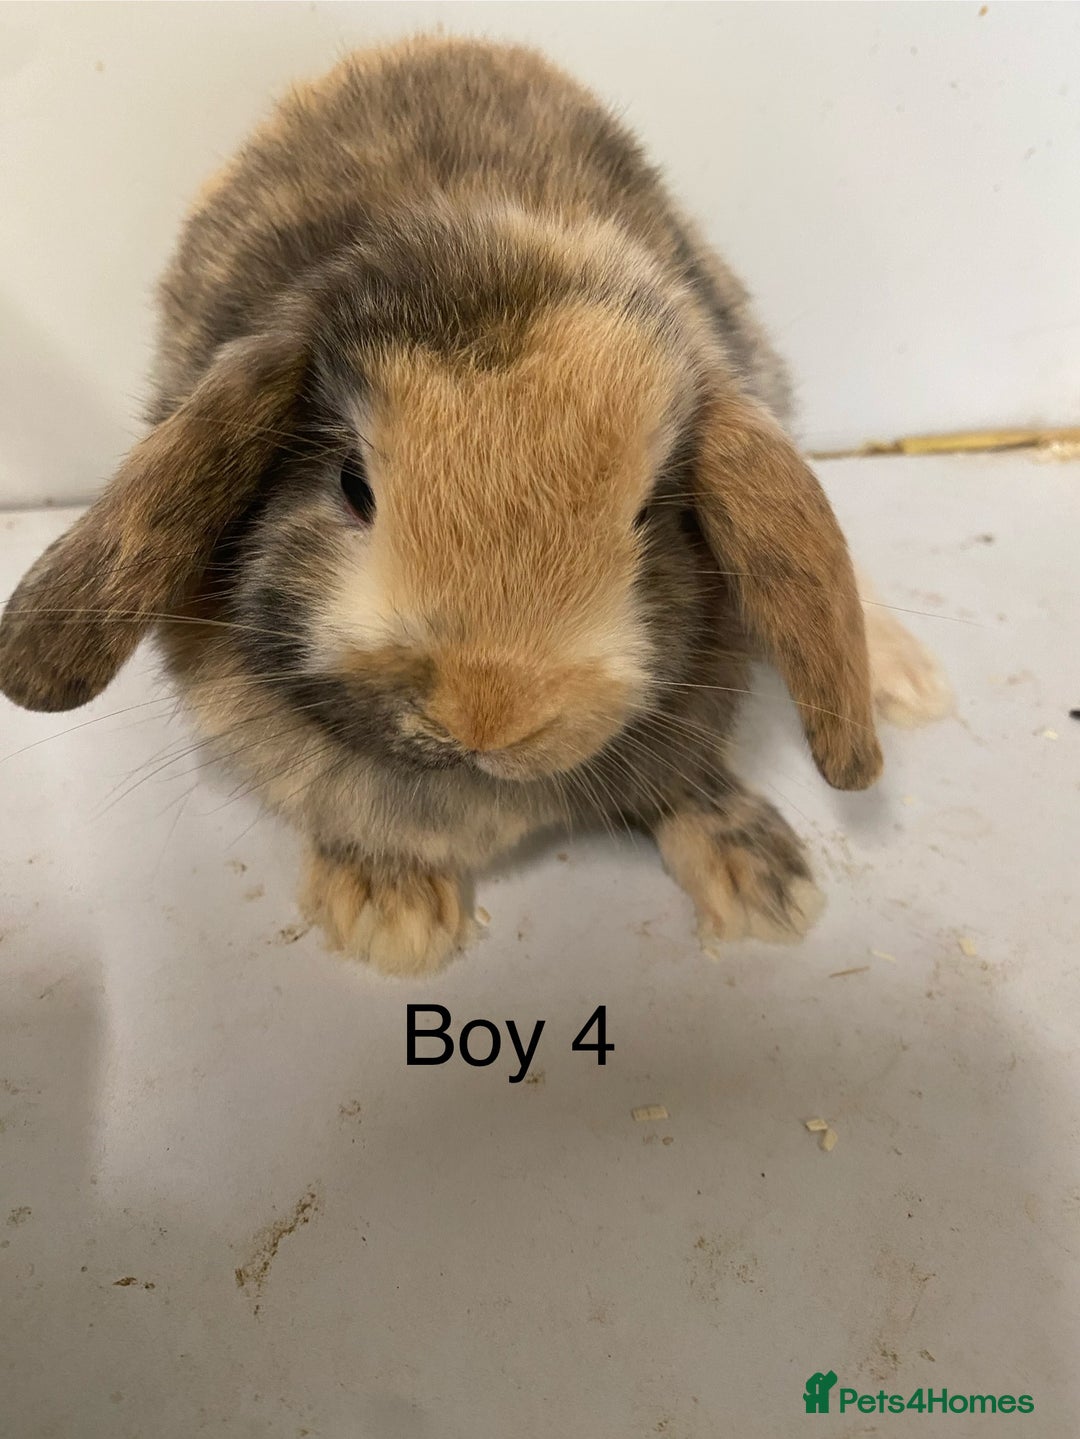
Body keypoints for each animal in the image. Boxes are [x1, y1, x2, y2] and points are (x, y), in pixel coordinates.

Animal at [0, 36, 950, 976]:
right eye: (352, 484)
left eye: (648, 514)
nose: (490, 714)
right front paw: (389, 911)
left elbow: (686, 780)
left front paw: (764, 879)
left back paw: (906, 681)